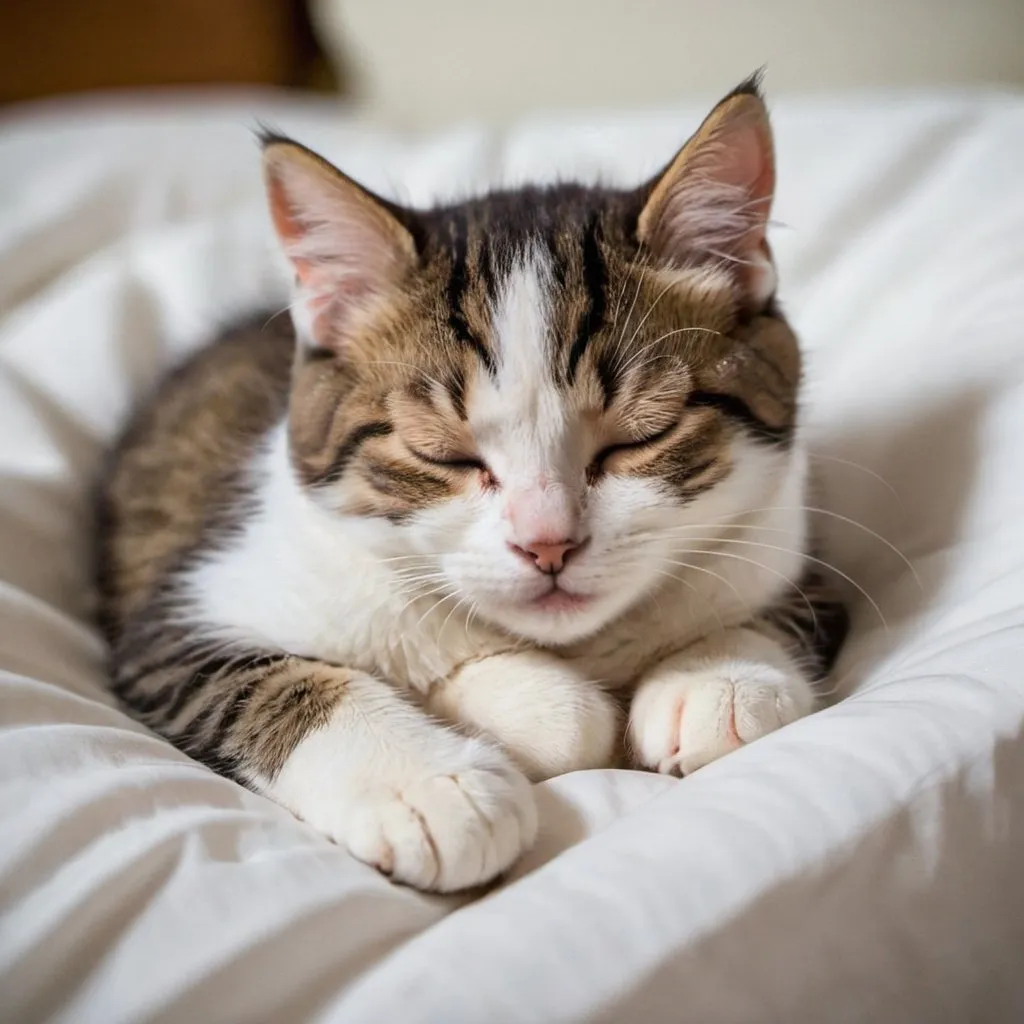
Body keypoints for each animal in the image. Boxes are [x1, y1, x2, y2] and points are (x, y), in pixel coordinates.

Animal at [96, 75, 847, 892]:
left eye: (639, 437)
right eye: (445, 454)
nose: (548, 544)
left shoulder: (794, 538)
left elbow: (794, 607)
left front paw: (717, 680)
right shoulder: (174, 620)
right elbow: (264, 678)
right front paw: (428, 782)